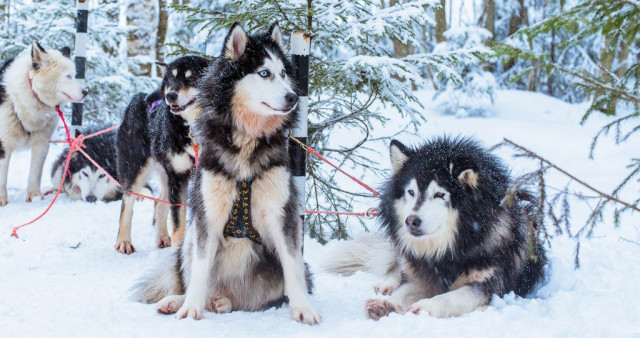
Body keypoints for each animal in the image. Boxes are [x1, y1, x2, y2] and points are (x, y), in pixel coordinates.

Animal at [0, 42, 87, 206]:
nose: (86, 92)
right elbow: (2, 176)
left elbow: (35, 172)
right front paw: (1, 199)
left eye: (75, 74)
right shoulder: (3, 144)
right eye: (68, 76)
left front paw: (34, 197)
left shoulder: (41, 143)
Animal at [115, 54, 210, 254]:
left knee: (160, 202)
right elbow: (178, 221)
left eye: (191, 77)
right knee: (127, 203)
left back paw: (162, 237)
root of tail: (141, 98)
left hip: (167, 174)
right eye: (171, 79)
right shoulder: (179, 177)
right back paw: (124, 241)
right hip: (136, 169)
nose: (170, 95)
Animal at [130, 23, 320, 324]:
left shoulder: (282, 214)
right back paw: (179, 301)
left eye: (283, 73)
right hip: (189, 237)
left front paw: (304, 308)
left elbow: (292, 264)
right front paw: (190, 309)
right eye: (263, 73)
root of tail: (230, 293)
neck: (246, 141)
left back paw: (224, 304)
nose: (293, 97)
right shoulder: (207, 214)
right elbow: (200, 268)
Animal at [324, 137, 544, 320]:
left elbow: (451, 297)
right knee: (399, 264)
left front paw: (425, 307)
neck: (449, 249)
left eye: (439, 195)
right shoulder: (424, 274)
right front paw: (387, 304)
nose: (411, 221)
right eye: (411, 192)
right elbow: (405, 289)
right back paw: (387, 284)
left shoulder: (486, 285)